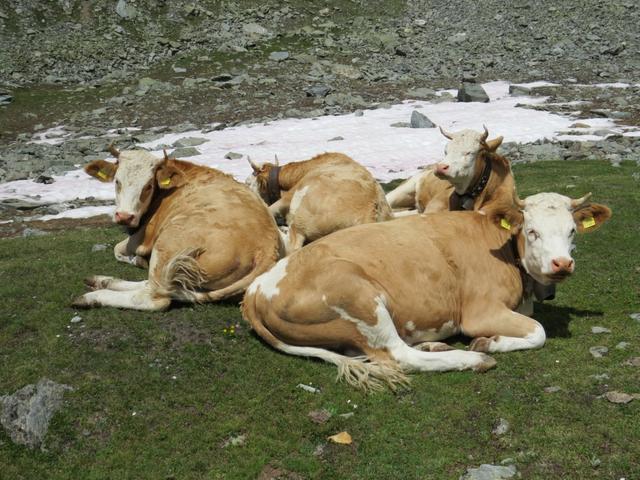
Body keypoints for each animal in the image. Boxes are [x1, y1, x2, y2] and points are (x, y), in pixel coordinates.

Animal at [71, 147, 282, 312]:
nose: (124, 216)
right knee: (158, 284)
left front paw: (137, 259)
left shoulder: (143, 237)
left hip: (168, 242)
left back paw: (93, 296)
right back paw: (103, 281)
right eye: (117, 181)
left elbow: (117, 249)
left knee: (155, 296)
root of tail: (267, 247)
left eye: (148, 186)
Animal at [242, 191, 612, 390]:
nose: (562, 264)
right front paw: (489, 343)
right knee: (399, 357)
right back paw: (472, 358)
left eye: (572, 231)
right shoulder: (480, 312)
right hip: (358, 296)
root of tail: (256, 290)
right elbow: (538, 332)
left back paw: (436, 345)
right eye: (532, 231)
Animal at [246, 153, 392, 255]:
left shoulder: (290, 195)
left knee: (293, 245)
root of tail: (370, 207)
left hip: (300, 209)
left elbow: (270, 208)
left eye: (248, 182)